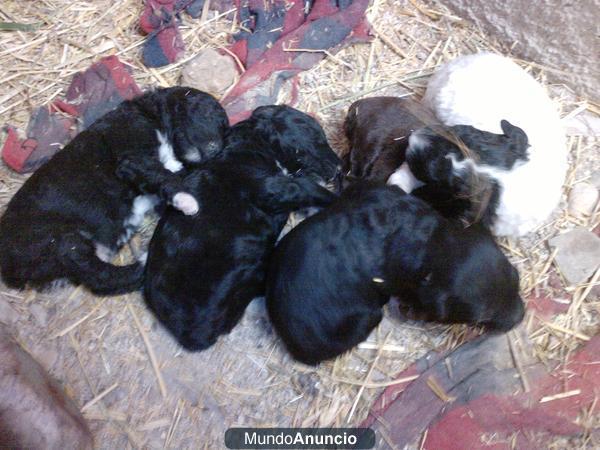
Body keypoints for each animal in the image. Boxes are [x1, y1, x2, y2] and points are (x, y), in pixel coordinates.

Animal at [0, 85, 229, 296]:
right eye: (208, 113)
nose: (216, 149)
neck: (152, 116)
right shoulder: (132, 157)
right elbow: (162, 174)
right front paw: (187, 199)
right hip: (59, 240)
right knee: (99, 276)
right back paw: (145, 260)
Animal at [144, 105, 342, 352]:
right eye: (316, 134)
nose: (340, 167)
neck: (254, 143)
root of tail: (189, 334)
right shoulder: (275, 189)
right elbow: (314, 189)